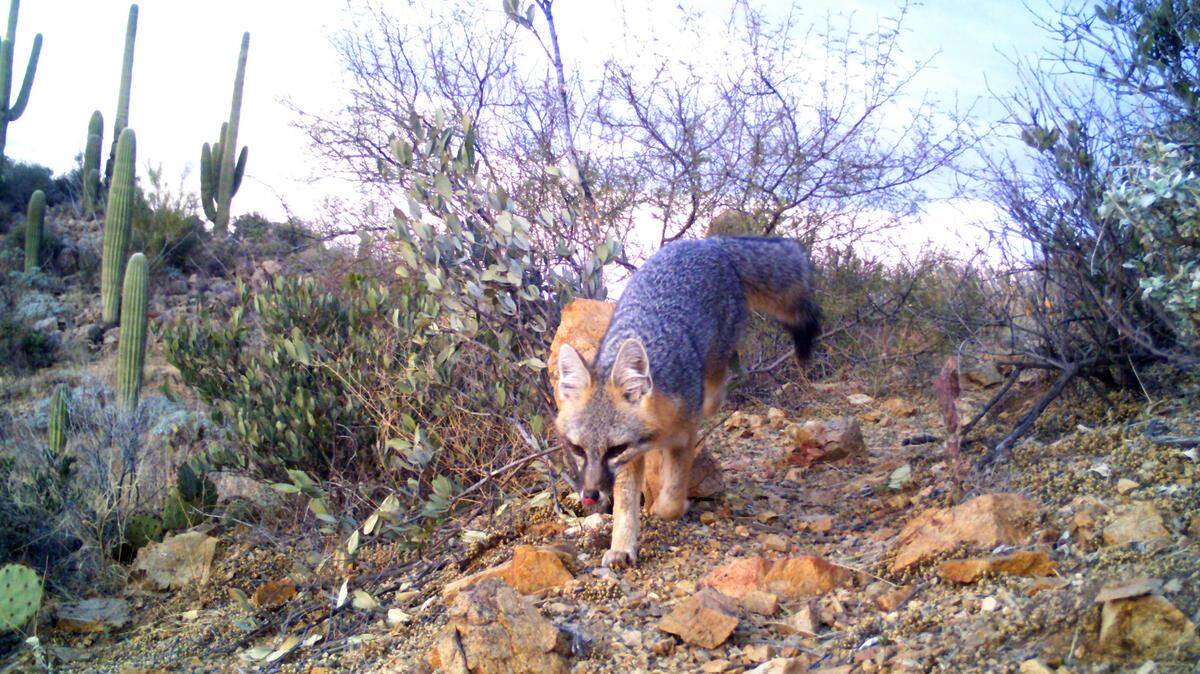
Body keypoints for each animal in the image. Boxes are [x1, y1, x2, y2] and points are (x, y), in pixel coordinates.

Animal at [553, 236, 820, 568]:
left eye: (614, 449)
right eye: (577, 449)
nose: (589, 495)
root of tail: (709, 243)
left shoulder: (679, 440)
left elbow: (671, 499)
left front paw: (669, 508)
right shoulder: (631, 461)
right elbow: (625, 506)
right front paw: (622, 546)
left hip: (717, 358)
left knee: (720, 381)